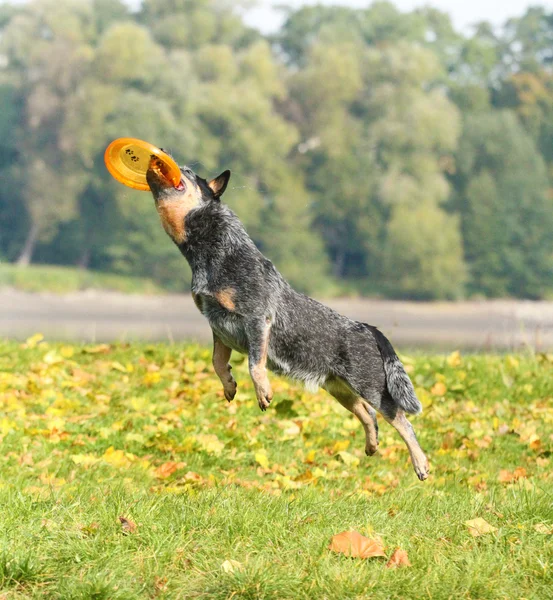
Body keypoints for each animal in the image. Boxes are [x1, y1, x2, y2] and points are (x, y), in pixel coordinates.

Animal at [144, 158, 430, 478]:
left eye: (189, 172)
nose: (161, 154)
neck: (215, 251)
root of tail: (370, 329)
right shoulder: (217, 326)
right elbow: (217, 363)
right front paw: (229, 385)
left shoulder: (257, 318)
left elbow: (255, 365)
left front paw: (263, 392)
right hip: (340, 389)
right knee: (369, 416)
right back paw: (371, 446)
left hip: (372, 388)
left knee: (402, 421)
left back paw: (421, 464)